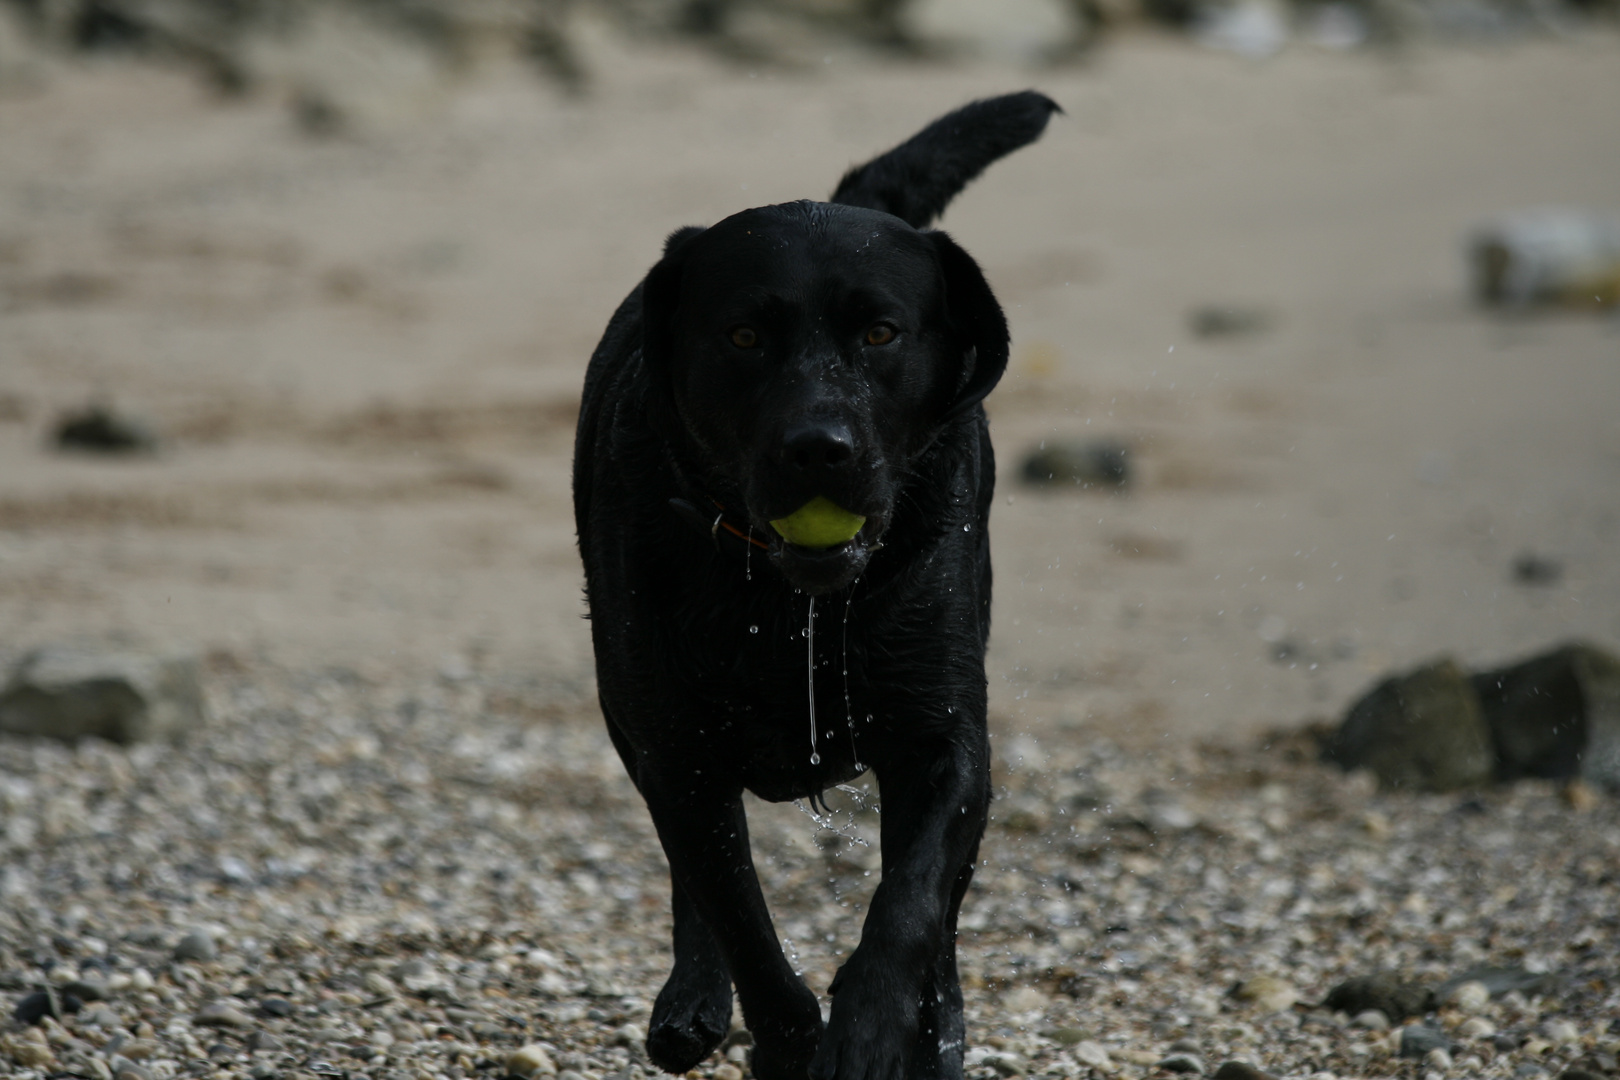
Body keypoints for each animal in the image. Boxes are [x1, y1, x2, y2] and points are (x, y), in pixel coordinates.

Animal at [576, 93, 1056, 1080]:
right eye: (744, 335)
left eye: (880, 333)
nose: (818, 449)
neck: (791, 609)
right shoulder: (676, 750)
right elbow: (741, 922)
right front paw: (793, 1043)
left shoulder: (946, 743)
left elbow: (910, 904)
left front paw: (874, 1031)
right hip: (629, 723)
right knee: (693, 885)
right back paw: (691, 1001)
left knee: (942, 917)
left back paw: (939, 1033)